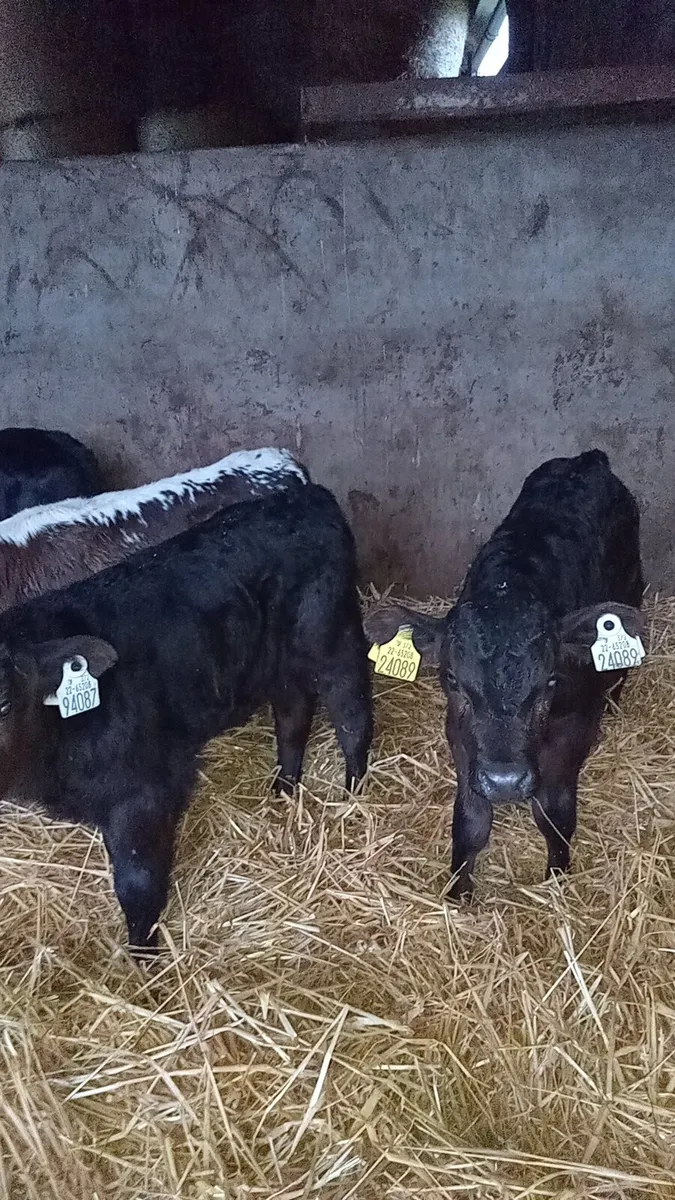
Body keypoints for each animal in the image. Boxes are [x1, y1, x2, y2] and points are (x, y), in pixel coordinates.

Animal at [0, 482, 372, 951]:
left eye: (5, 702)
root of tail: (310, 494)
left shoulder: (146, 789)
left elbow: (138, 882)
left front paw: (143, 954)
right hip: (278, 661)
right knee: (293, 714)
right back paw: (284, 788)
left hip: (331, 635)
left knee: (351, 709)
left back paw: (353, 789)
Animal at [365, 450, 644, 899]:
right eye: (453, 681)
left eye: (550, 682)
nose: (505, 781)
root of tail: (587, 461)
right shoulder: (460, 734)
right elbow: (471, 820)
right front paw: (459, 894)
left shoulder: (575, 725)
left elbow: (554, 813)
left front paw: (557, 880)